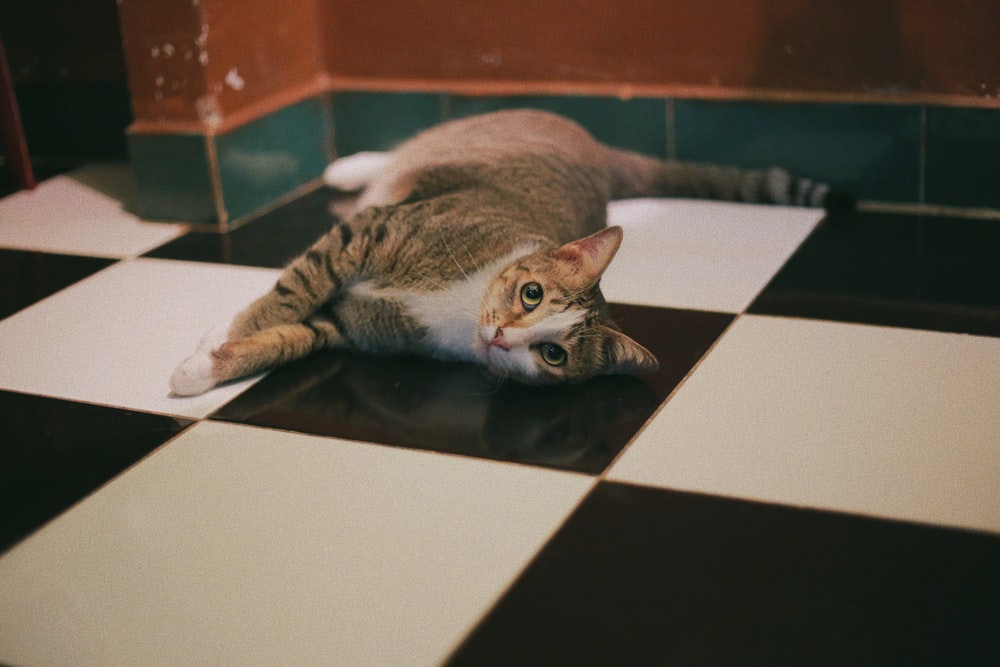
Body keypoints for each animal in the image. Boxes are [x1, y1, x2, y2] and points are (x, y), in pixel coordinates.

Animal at [172, 107, 844, 394]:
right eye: (532, 293)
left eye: (552, 354)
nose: (501, 337)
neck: (462, 309)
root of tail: (600, 154)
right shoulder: (368, 234)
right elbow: (290, 290)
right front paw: (225, 330)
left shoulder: (352, 325)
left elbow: (293, 336)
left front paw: (203, 368)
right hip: (462, 135)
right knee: (402, 153)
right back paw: (348, 166)